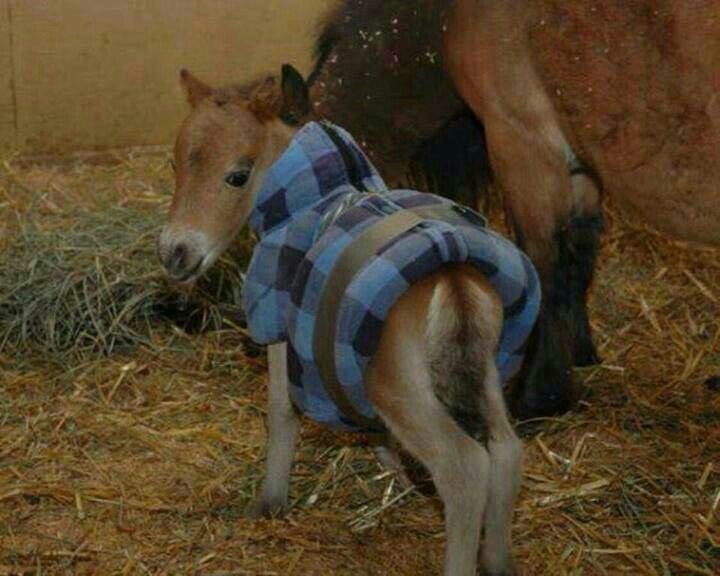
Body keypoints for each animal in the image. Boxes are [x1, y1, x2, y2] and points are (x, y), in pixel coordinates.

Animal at [158, 64, 530, 576]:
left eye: (237, 175)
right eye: (176, 165)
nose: (174, 254)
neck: (309, 197)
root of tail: (452, 279)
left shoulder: (280, 321)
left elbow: (281, 410)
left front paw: (268, 501)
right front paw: (391, 467)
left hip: (402, 388)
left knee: (465, 468)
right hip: (484, 371)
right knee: (506, 451)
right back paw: (497, 560)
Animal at [308, 0, 720, 418]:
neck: (443, 17)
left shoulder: (522, 144)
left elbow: (545, 269)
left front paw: (539, 394)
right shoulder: (578, 166)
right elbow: (579, 258)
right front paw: (579, 353)